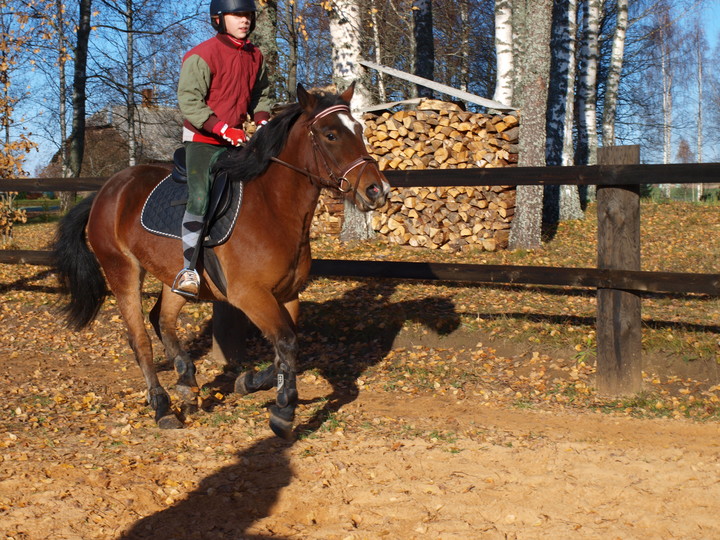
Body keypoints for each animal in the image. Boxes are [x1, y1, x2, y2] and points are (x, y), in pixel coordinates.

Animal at [52, 85, 390, 438]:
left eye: (359, 130)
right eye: (330, 135)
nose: (378, 190)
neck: (273, 208)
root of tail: (107, 190)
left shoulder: (287, 295)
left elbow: (284, 348)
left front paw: (250, 382)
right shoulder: (250, 295)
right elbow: (286, 342)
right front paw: (284, 410)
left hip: (177, 279)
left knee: (163, 319)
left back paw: (187, 382)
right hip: (122, 270)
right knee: (140, 340)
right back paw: (162, 407)